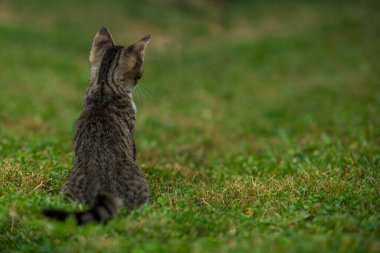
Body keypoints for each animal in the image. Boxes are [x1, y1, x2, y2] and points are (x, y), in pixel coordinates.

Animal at [43, 27, 151, 225]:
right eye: (140, 67)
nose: (140, 77)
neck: (104, 85)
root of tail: (104, 190)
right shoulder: (131, 134)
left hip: (71, 191)